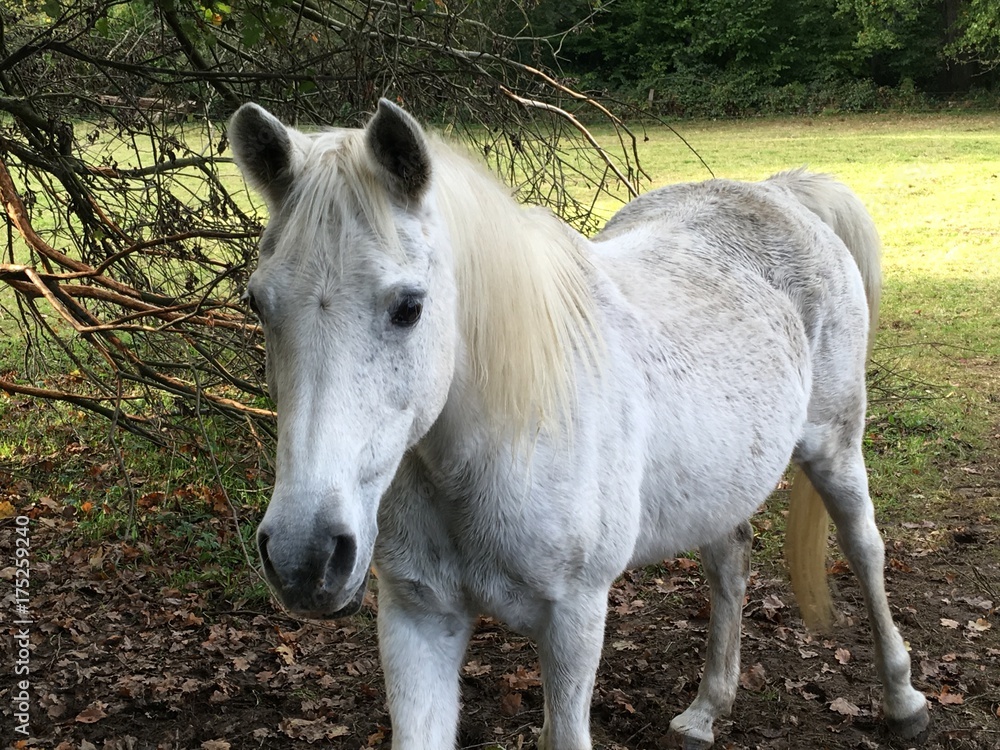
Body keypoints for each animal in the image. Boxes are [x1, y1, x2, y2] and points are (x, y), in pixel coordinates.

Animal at [228, 99, 930, 749]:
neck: (499, 448)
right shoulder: (418, 618)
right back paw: (705, 712)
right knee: (730, 561)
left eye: (408, 307)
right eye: (257, 303)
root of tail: (779, 191)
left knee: (865, 548)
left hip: (835, 447)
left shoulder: (574, 617)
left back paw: (903, 701)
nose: (303, 557)